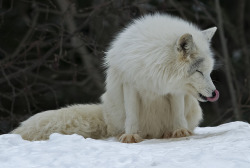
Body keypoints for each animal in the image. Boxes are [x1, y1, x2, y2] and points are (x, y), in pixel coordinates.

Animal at [11, 14, 219, 143]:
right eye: (199, 72)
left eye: (209, 72)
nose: (214, 93)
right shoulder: (130, 84)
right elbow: (132, 115)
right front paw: (130, 137)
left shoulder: (173, 89)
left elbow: (178, 114)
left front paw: (180, 132)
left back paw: (170, 133)